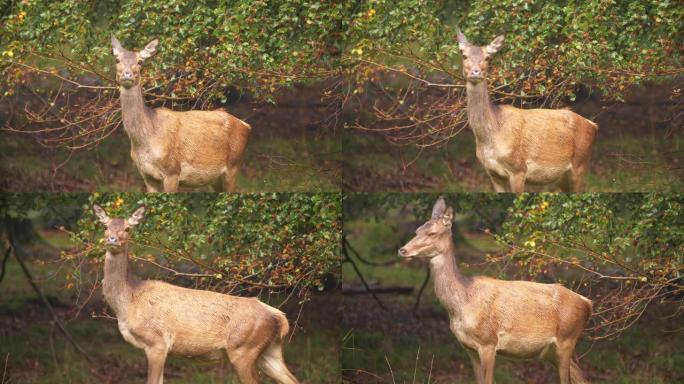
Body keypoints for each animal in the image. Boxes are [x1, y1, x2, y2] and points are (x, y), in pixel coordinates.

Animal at [92, 204, 298, 384]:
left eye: (127, 229)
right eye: (105, 226)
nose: (112, 239)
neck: (129, 300)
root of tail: (280, 317)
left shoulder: (157, 342)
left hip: (243, 348)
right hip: (269, 351)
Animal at [111, 35, 250, 191]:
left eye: (140, 61)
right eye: (117, 59)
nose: (127, 74)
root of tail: (246, 125)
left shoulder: (172, 171)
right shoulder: (147, 175)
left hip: (233, 166)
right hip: (216, 179)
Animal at [398, 198, 592, 384]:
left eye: (432, 233)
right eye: (417, 230)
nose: (402, 250)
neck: (463, 303)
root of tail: (587, 303)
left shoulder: (488, 342)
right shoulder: (468, 348)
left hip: (567, 338)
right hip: (550, 351)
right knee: (581, 377)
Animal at [456, 30, 596, 194]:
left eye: (487, 57)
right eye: (464, 55)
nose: (475, 72)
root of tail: (593, 125)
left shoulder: (518, 169)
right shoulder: (493, 173)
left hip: (580, 164)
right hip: (562, 177)